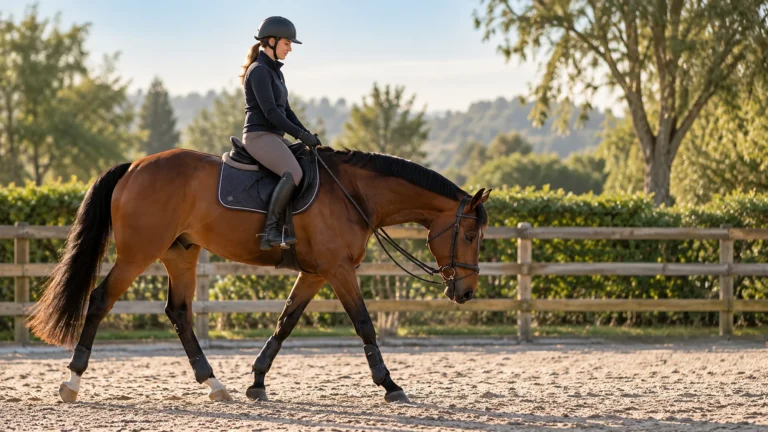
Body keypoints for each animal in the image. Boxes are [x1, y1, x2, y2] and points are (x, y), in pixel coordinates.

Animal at [27, 144, 491, 404]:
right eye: (470, 234)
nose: (466, 292)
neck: (355, 193)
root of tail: (134, 166)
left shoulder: (317, 273)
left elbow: (286, 322)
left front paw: (257, 381)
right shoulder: (339, 270)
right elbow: (364, 324)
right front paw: (390, 385)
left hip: (181, 254)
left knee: (179, 313)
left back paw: (214, 385)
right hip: (139, 253)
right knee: (100, 300)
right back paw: (71, 382)